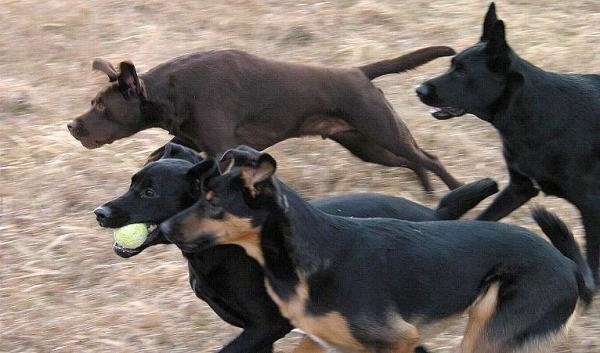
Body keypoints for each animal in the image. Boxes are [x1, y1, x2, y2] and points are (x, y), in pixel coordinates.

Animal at [67, 46, 460, 192]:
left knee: (431, 159)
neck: (173, 92)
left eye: (101, 107)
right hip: (367, 145)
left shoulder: (222, 149)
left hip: (381, 131)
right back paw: (428, 196)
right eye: (93, 102)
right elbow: (159, 153)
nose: (71, 126)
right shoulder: (193, 142)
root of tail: (359, 72)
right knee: (415, 161)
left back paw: (457, 194)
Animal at [95, 142, 496, 352]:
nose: (100, 213)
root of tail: (435, 213)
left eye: (149, 192)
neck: (222, 251)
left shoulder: (266, 327)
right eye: (132, 182)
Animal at [161, 148, 596, 352]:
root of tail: (569, 267)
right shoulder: (320, 341)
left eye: (214, 204)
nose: (163, 227)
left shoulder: (397, 339)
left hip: (487, 336)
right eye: (199, 196)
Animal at [414, 2, 600, 282]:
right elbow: (484, 219)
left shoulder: (591, 206)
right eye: (451, 65)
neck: (533, 112)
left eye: (462, 71)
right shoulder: (519, 188)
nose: (419, 90)